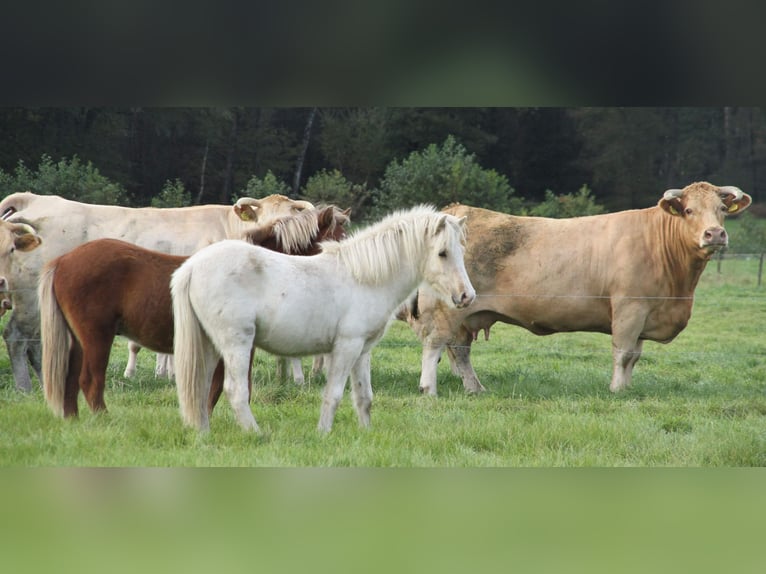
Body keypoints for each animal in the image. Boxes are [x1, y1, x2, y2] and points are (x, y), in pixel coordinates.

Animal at [39, 206, 352, 418]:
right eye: (337, 239)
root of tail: (63, 261)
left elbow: (212, 389)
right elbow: (232, 387)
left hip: (79, 340)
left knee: (70, 380)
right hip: (97, 337)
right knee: (90, 382)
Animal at [171, 205, 476, 434]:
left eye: (461, 251)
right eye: (442, 253)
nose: (466, 296)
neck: (363, 278)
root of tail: (193, 265)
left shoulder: (363, 351)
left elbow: (364, 397)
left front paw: (365, 433)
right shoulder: (346, 347)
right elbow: (334, 394)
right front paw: (323, 434)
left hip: (210, 346)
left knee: (200, 388)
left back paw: (204, 433)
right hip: (237, 344)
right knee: (235, 391)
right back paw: (256, 434)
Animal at [402, 182, 756, 398]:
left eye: (721, 210)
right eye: (689, 210)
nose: (715, 234)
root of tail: (456, 210)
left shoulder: (645, 314)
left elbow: (635, 356)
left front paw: (628, 388)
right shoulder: (630, 308)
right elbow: (623, 353)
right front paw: (616, 390)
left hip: (465, 314)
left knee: (459, 351)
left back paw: (476, 389)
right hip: (445, 309)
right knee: (434, 346)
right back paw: (429, 390)